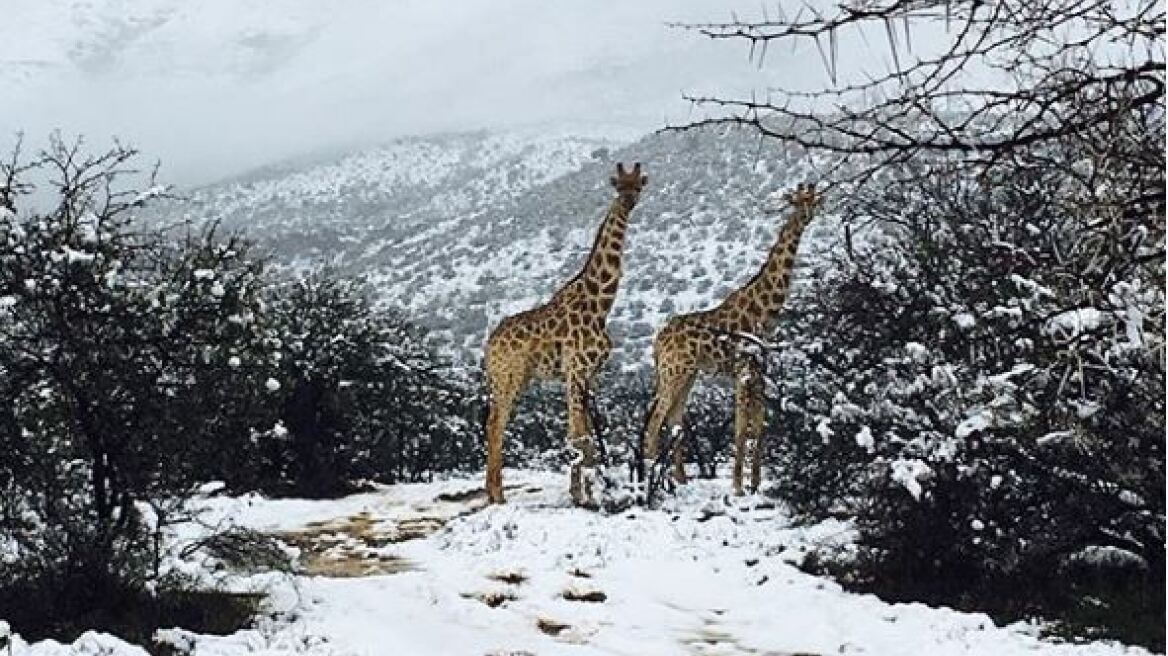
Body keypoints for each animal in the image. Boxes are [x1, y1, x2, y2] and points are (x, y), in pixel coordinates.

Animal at [481, 161, 649, 501]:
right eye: (618, 185)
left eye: (639, 184)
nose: (628, 202)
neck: (600, 305)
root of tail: (489, 346)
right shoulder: (575, 370)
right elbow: (578, 436)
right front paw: (582, 497)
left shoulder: (589, 374)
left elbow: (587, 437)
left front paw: (586, 493)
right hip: (509, 376)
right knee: (495, 424)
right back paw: (498, 495)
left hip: (513, 378)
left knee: (495, 423)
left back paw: (493, 492)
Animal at [644, 180, 826, 492]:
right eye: (797, 201)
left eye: (812, 199)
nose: (808, 214)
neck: (765, 309)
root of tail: (657, 342)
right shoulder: (744, 368)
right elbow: (742, 427)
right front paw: (739, 485)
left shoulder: (759, 368)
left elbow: (760, 425)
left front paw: (755, 483)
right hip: (674, 371)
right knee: (656, 419)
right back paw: (653, 477)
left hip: (688, 374)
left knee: (674, 419)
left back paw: (680, 479)